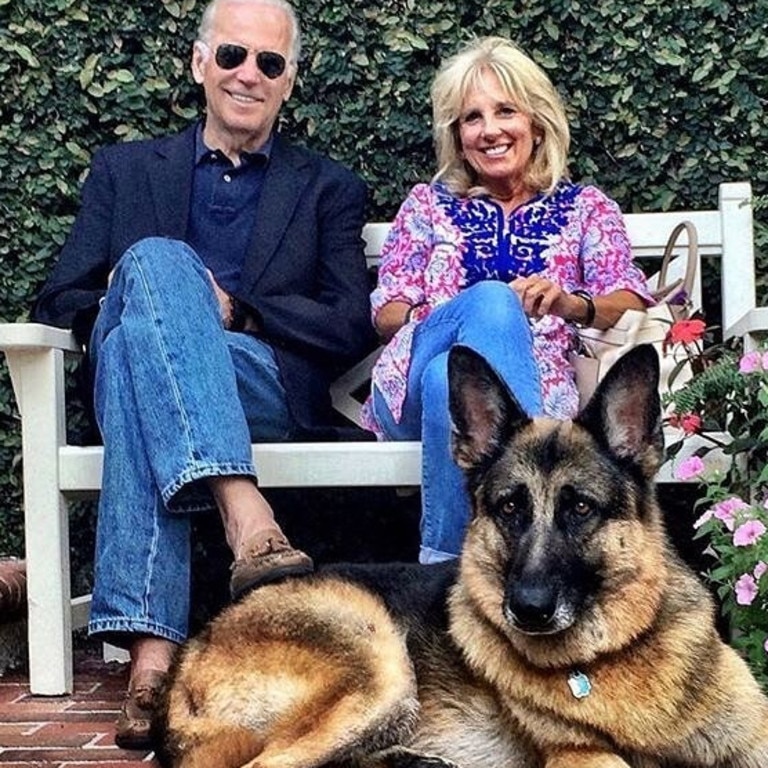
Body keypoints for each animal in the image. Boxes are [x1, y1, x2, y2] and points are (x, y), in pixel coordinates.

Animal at [153, 344, 768, 764]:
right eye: (510, 507)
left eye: (580, 508)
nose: (528, 609)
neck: (611, 652)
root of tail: (195, 647)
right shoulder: (580, 755)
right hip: (376, 658)